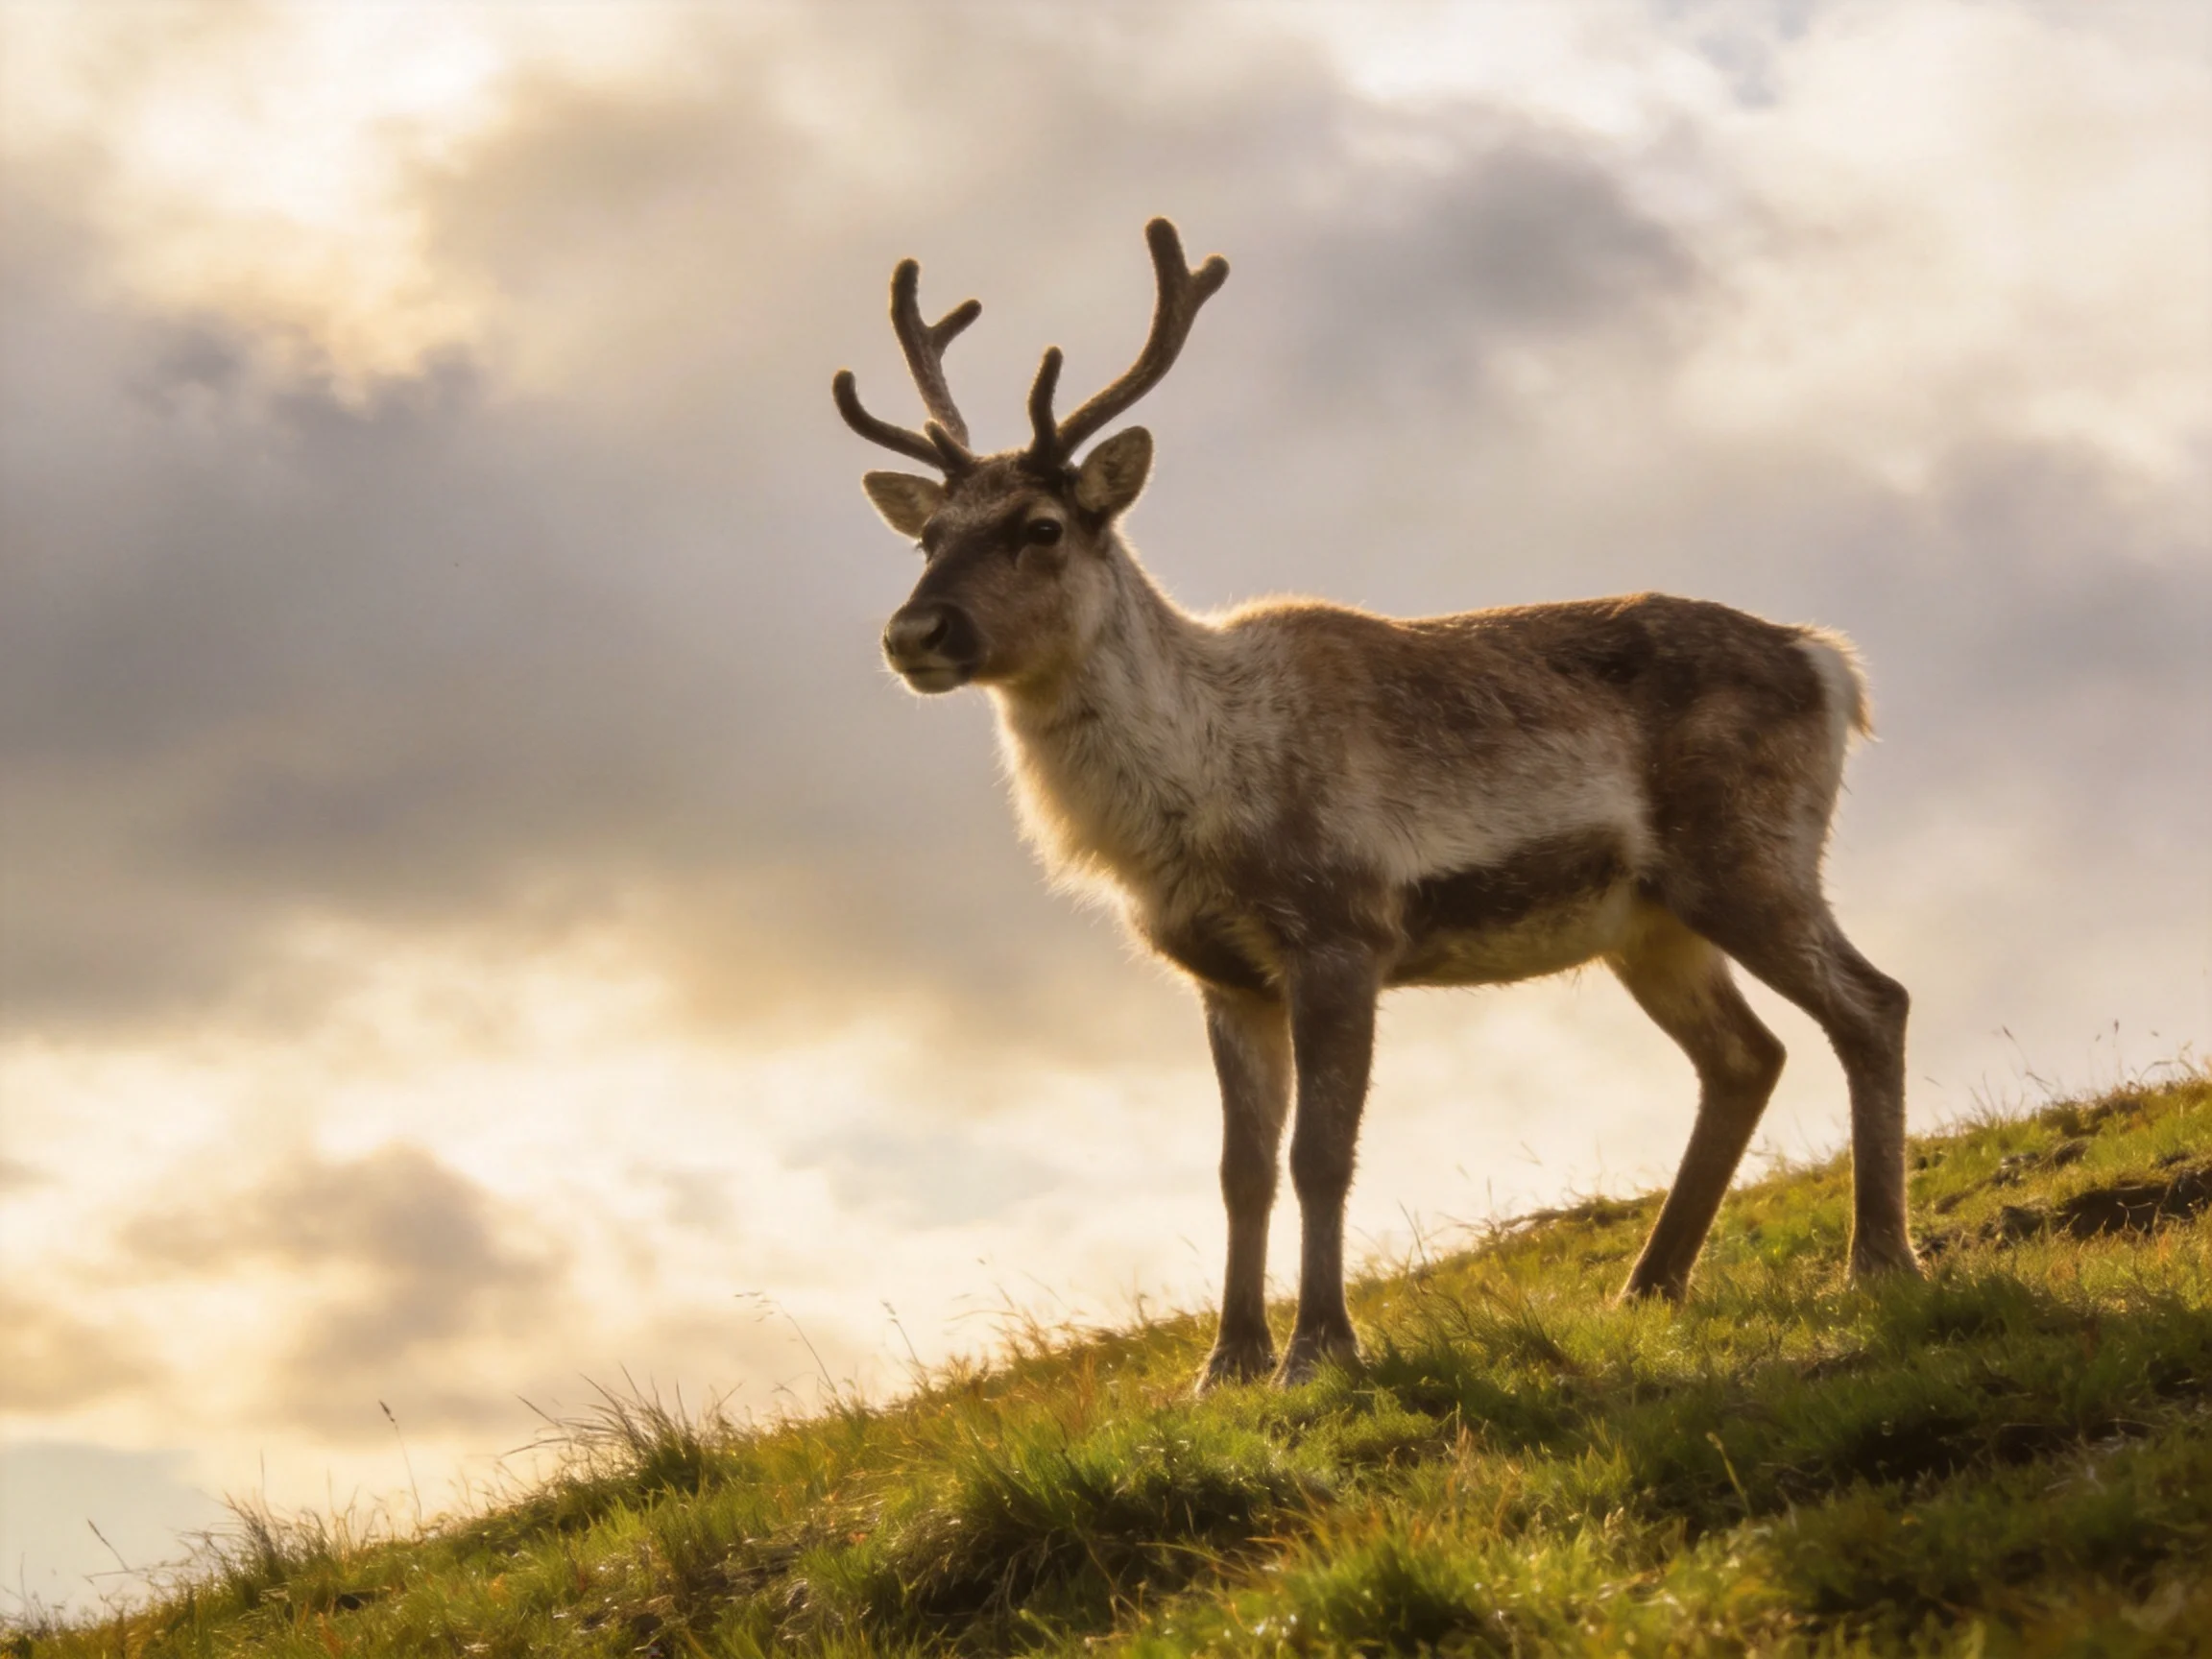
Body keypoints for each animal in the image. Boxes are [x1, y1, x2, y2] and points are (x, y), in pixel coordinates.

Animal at [833, 218, 1918, 1390]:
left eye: (1041, 526)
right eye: (926, 535)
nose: (914, 632)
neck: (1192, 798)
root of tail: (1830, 664)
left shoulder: (1341, 929)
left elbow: (1321, 1155)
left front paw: (1320, 1349)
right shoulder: (1224, 974)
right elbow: (1240, 1170)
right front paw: (1227, 1362)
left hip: (1750, 857)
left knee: (1873, 1003)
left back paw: (1878, 1262)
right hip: (1649, 922)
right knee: (1745, 1056)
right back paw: (1649, 1285)